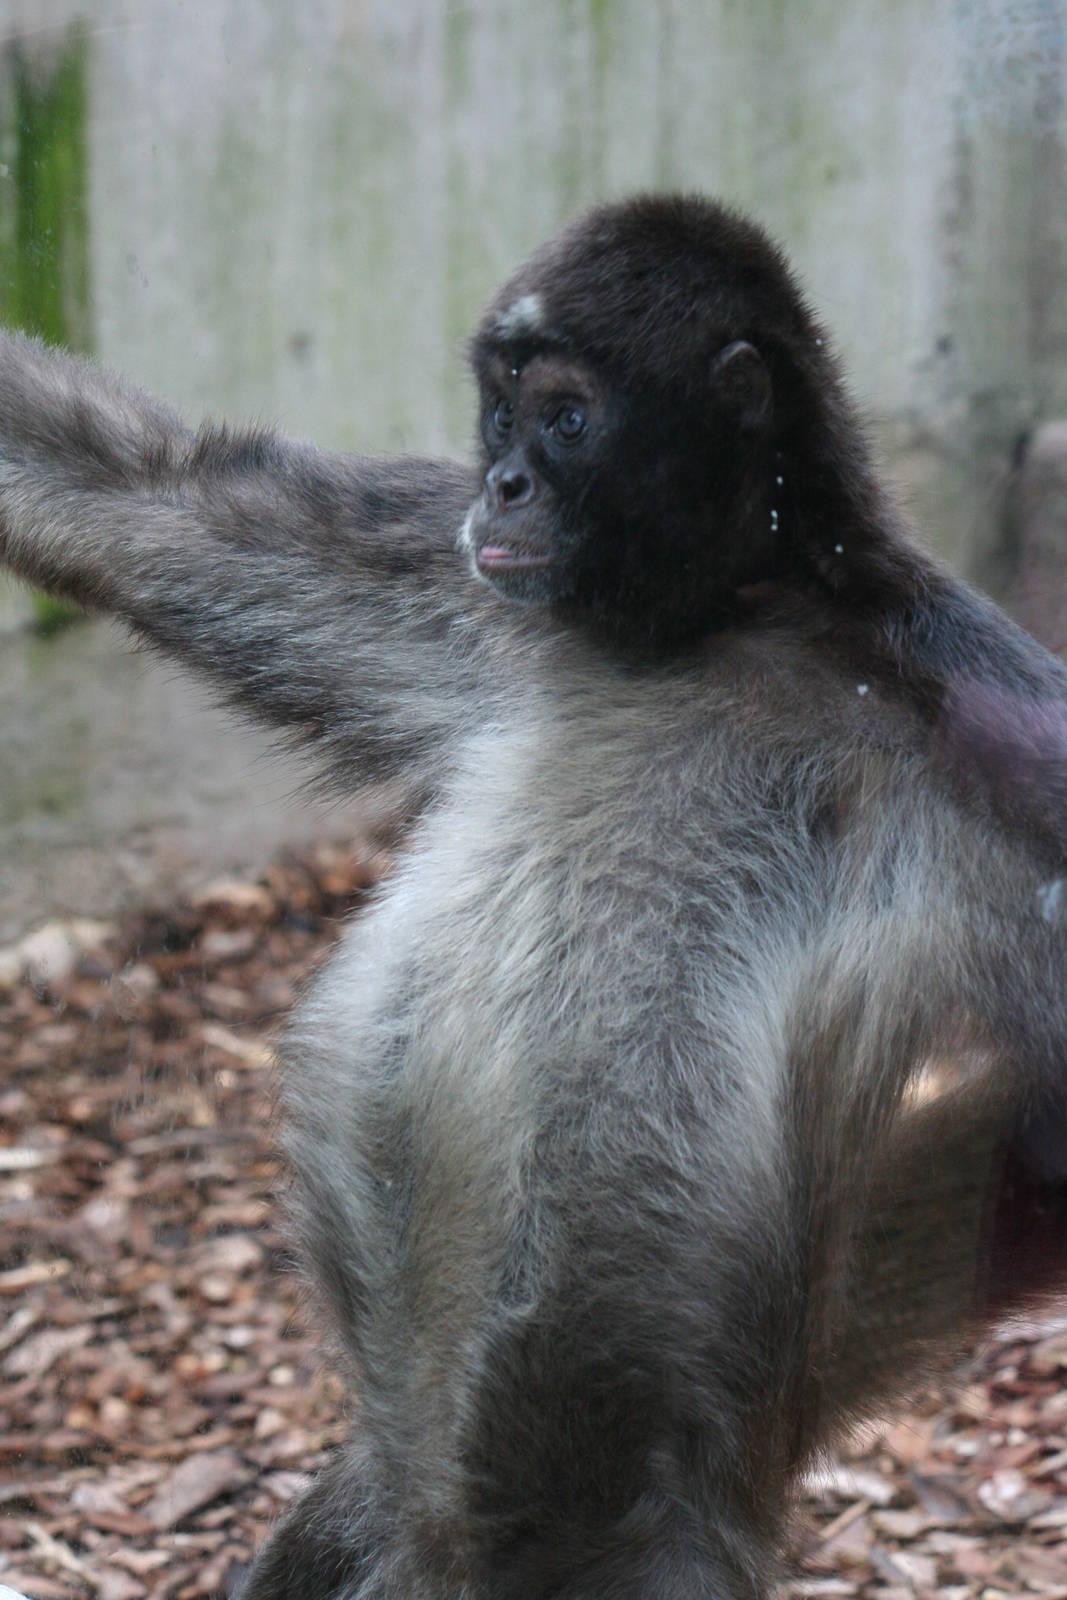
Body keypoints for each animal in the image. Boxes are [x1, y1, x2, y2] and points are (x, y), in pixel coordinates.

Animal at [0, 193, 1064, 1600]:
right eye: (496, 418)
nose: (499, 484)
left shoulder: (969, 705)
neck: (723, 622)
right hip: (388, 1514)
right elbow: (148, 495)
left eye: (562, 418)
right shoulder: (475, 588)